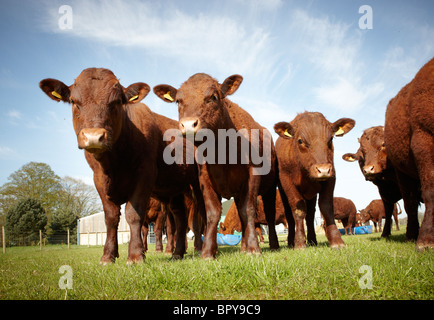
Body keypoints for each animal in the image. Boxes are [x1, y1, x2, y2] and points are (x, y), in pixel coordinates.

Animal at [40, 67, 203, 262]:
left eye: (117, 101)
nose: (94, 136)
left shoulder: (145, 174)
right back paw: (177, 253)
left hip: (197, 183)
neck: (113, 163)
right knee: (180, 219)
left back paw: (200, 249)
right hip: (174, 187)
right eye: (73, 101)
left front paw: (135, 256)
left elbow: (133, 214)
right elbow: (111, 218)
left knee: (198, 217)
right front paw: (108, 255)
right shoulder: (98, 179)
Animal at [276, 111, 354, 249]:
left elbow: (326, 206)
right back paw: (291, 241)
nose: (323, 170)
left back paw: (312, 240)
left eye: (331, 139)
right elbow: (298, 209)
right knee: (290, 215)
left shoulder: (331, 176)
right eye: (300, 140)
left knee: (310, 215)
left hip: (311, 194)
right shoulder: (287, 181)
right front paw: (299, 243)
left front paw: (336, 240)